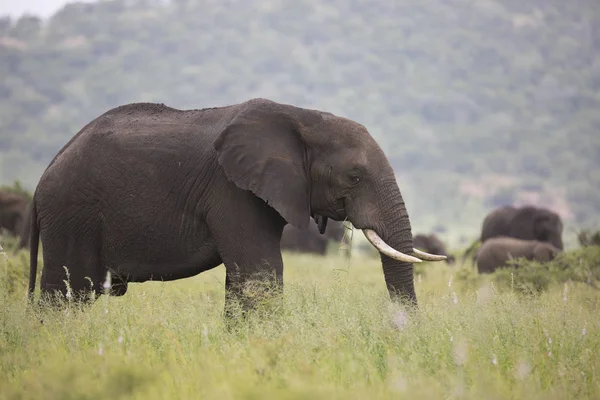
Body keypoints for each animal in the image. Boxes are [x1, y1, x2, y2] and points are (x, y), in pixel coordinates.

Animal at [27, 97, 446, 312]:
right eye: (354, 177)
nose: (404, 331)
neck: (303, 117)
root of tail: (43, 177)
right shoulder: (232, 190)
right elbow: (261, 273)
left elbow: (244, 279)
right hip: (72, 215)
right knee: (65, 294)